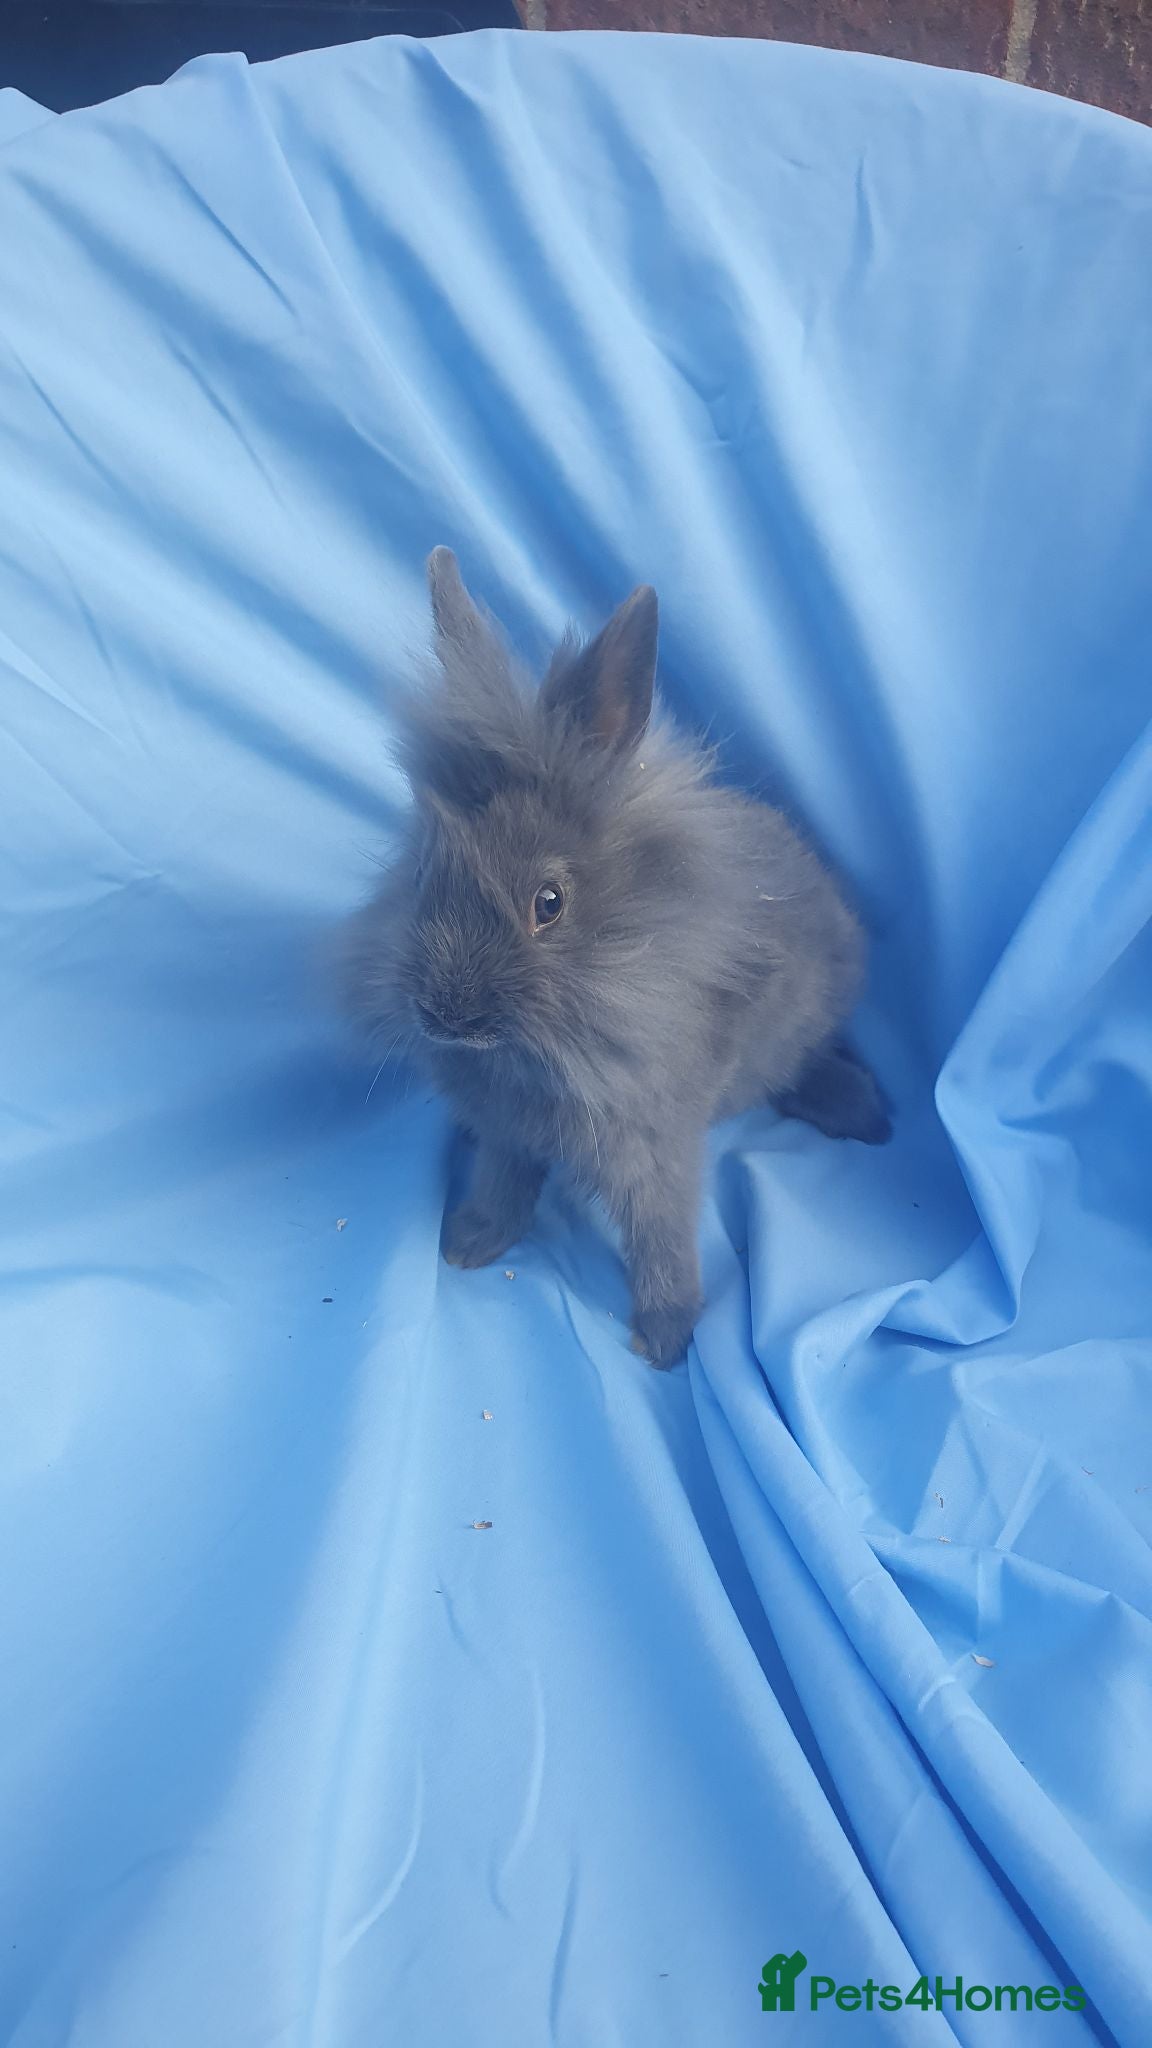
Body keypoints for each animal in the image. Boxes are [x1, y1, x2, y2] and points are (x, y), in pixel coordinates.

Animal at [345, 548, 890, 1368]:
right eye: (420, 877)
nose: (446, 1014)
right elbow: (503, 1182)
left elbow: (661, 1235)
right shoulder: (509, 1135)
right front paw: (469, 1244)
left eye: (549, 902)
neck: (539, 1054)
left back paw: (864, 1113)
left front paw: (664, 1337)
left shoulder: (654, 1148)